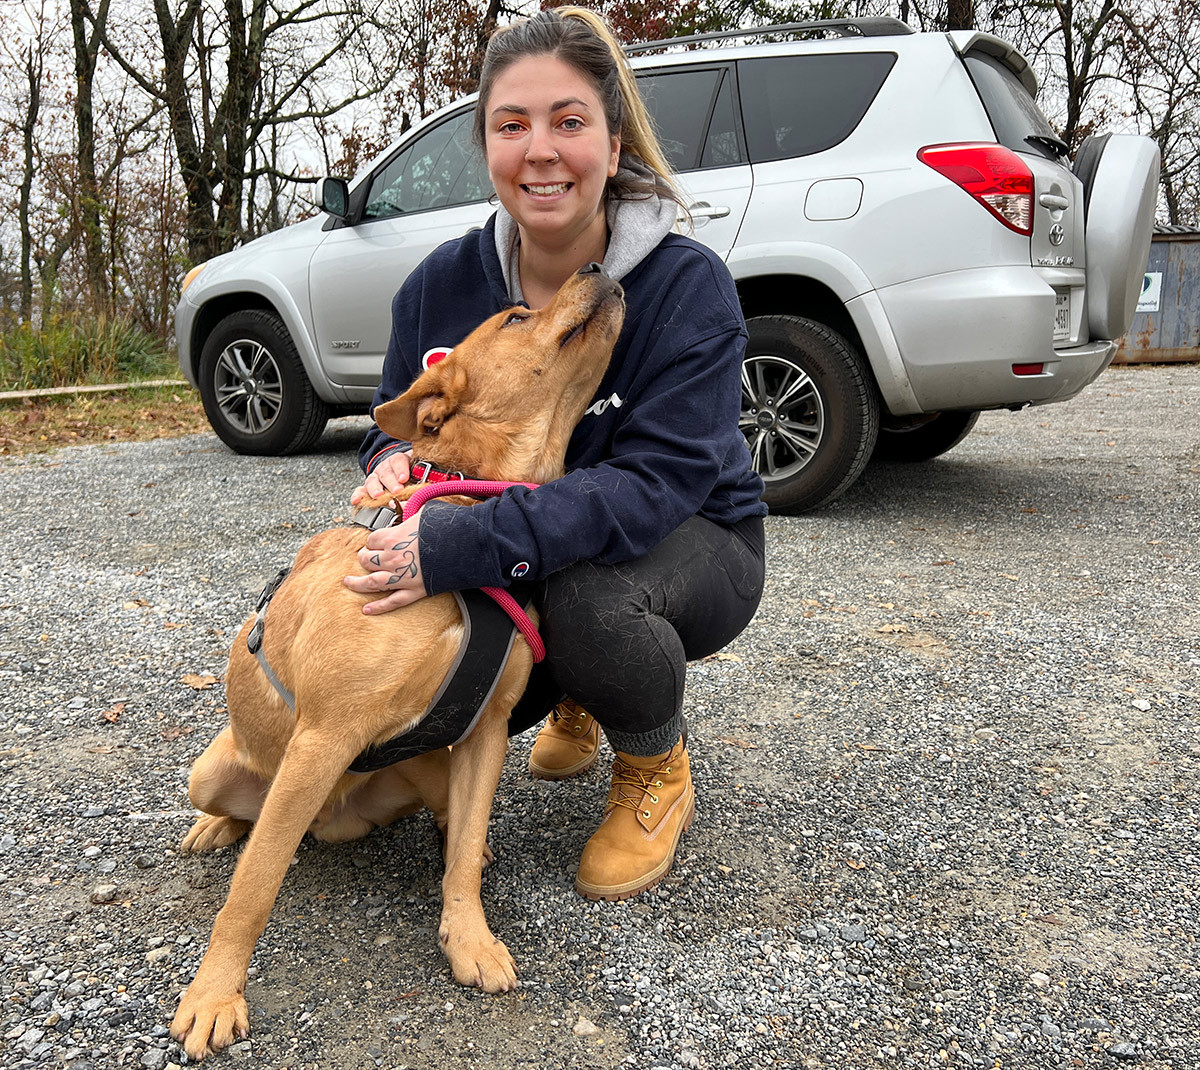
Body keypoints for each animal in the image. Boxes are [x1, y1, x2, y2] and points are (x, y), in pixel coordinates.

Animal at [172, 269, 624, 1060]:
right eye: (516, 316)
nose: (597, 268)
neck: (461, 511)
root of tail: (334, 822)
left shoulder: (483, 732)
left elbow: (465, 848)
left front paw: (467, 936)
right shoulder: (322, 738)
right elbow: (252, 889)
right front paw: (213, 994)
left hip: (427, 768)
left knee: (451, 826)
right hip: (225, 772)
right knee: (246, 823)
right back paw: (216, 828)